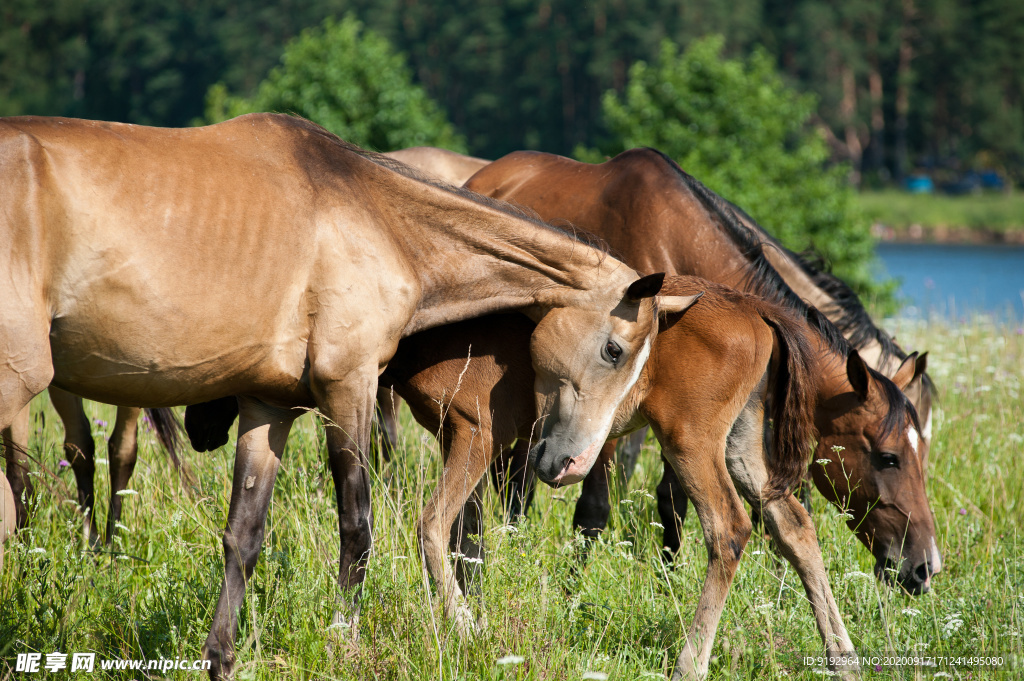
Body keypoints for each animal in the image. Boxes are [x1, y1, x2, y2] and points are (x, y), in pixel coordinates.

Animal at [2, 114, 671, 675]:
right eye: (614, 350)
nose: (570, 464)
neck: (379, 218)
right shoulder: (349, 386)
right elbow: (357, 525)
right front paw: (343, 638)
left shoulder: (267, 406)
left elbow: (243, 535)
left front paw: (220, 657)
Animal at [380, 276, 925, 679]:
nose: (921, 567)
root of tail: (755, 311)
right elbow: (468, 534)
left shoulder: (475, 433)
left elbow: (433, 525)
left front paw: (466, 629)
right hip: (742, 443)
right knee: (793, 524)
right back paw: (842, 657)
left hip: (691, 441)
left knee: (729, 527)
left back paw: (691, 663)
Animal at [468, 150, 937, 593]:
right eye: (888, 457)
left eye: (923, 454)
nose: (924, 567)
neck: (677, 248)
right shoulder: (599, 416)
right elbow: (594, 508)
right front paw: (572, 589)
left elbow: (673, 502)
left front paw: (668, 581)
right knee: (514, 477)